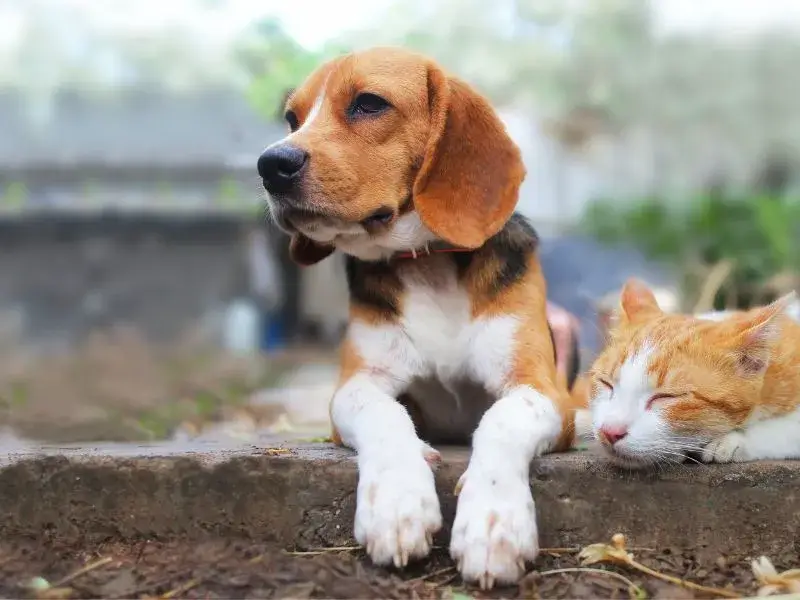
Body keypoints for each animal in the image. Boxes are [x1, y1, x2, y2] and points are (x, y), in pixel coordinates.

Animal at [260, 48, 584, 592]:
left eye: (369, 103)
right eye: (291, 119)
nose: (270, 165)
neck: (427, 262)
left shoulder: (541, 390)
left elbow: (500, 421)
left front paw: (493, 521)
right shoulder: (358, 384)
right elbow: (384, 416)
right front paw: (396, 503)